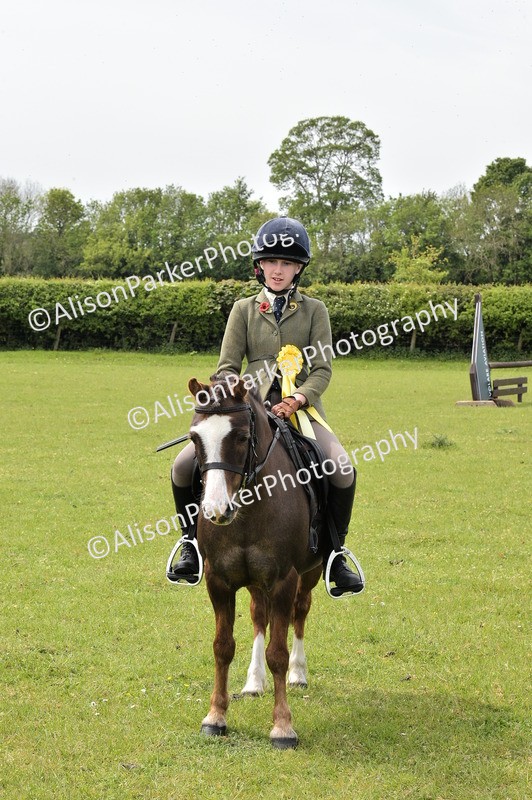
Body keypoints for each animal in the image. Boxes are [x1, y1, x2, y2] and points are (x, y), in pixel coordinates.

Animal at [183, 372, 324, 748]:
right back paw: (253, 682)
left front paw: (283, 726)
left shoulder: (284, 579)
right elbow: (223, 646)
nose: (217, 510)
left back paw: (298, 675)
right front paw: (215, 717)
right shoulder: (219, 580)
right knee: (260, 617)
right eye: (194, 437)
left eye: (242, 437)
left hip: (310, 572)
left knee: (300, 613)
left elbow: (279, 653)